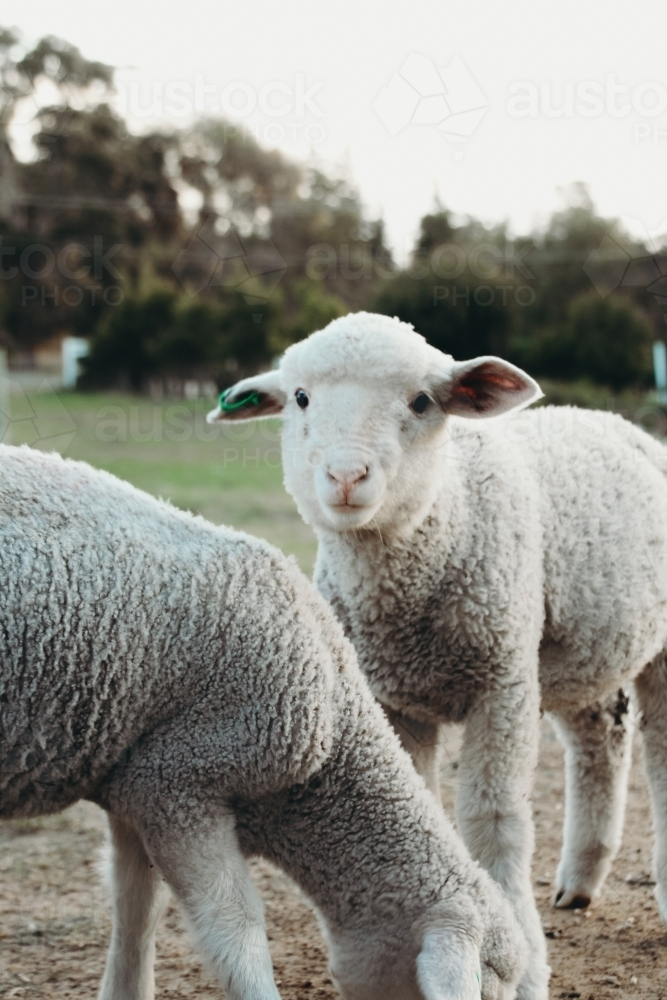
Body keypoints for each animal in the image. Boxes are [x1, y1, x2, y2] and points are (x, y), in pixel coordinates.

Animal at [209, 310, 667, 1000]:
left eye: (422, 401)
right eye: (300, 398)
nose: (346, 476)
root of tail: (612, 420)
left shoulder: (503, 682)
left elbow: (493, 821)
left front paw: (524, 964)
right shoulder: (393, 697)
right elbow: (419, 803)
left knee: (660, 752)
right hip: (577, 652)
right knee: (601, 741)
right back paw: (580, 881)